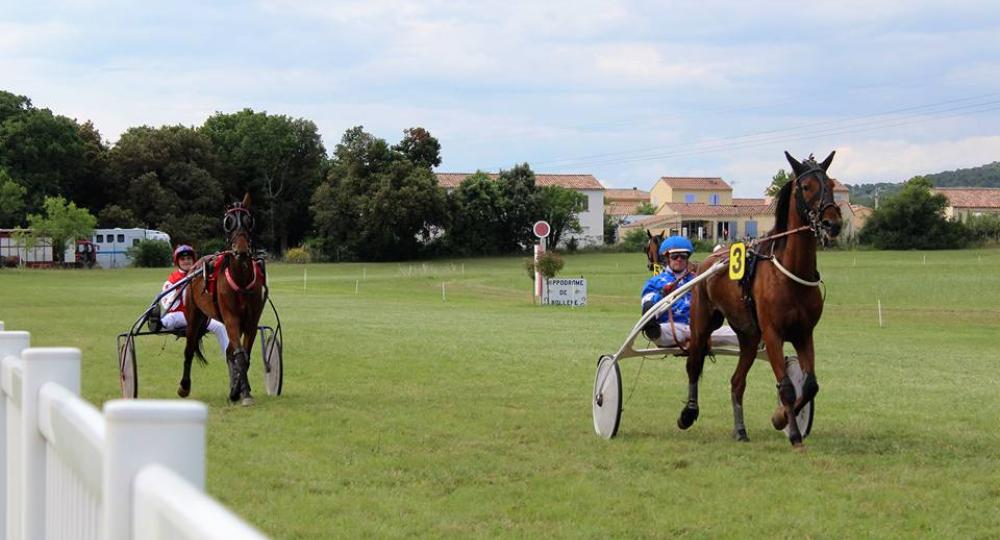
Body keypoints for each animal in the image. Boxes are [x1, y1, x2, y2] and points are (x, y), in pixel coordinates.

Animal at [180, 194, 266, 404]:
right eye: (228, 222)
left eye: (249, 221)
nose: (241, 251)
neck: (241, 280)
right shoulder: (231, 318)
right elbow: (240, 354)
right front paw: (244, 393)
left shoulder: (251, 322)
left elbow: (244, 354)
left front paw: (239, 390)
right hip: (194, 316)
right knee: (189, 349)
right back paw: (184, 386)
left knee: (229, 352)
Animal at [684, 152, 840, 448]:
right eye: (806, 187)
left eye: (832, 185)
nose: (832, 222)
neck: (790, 274)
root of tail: (708, 260)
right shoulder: (773, 333)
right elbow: (787, 387)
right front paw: (793, 432)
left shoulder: (804, 333)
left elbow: (810, 385)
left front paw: (781, 417)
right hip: (702, 323)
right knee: (694, 364)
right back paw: (688, 412)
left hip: (748, 336)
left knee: (737, 382)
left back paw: (740, 429)